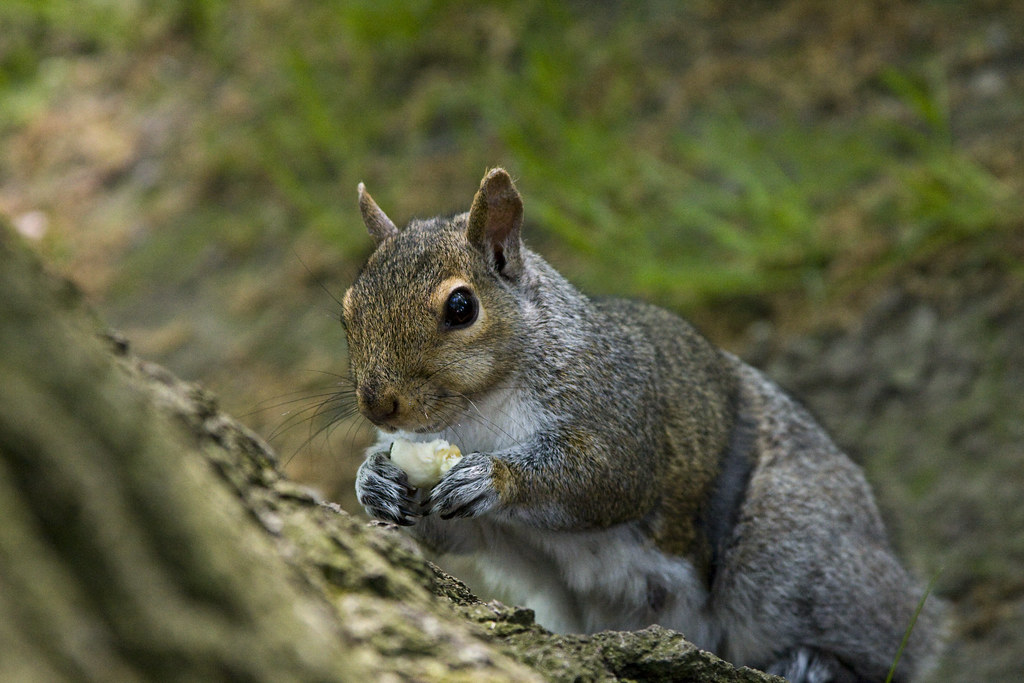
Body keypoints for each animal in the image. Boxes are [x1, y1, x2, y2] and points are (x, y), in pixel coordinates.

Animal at [348, 168, 946, 682]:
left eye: (461, 307)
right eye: (349, 308)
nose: (378, 405)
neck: (478, 410)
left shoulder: (620, 411)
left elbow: (604, 478)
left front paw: (493, 477)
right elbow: (450, 533)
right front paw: (374, 480)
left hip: (796, 553)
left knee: (895, 643)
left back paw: (820, 660)